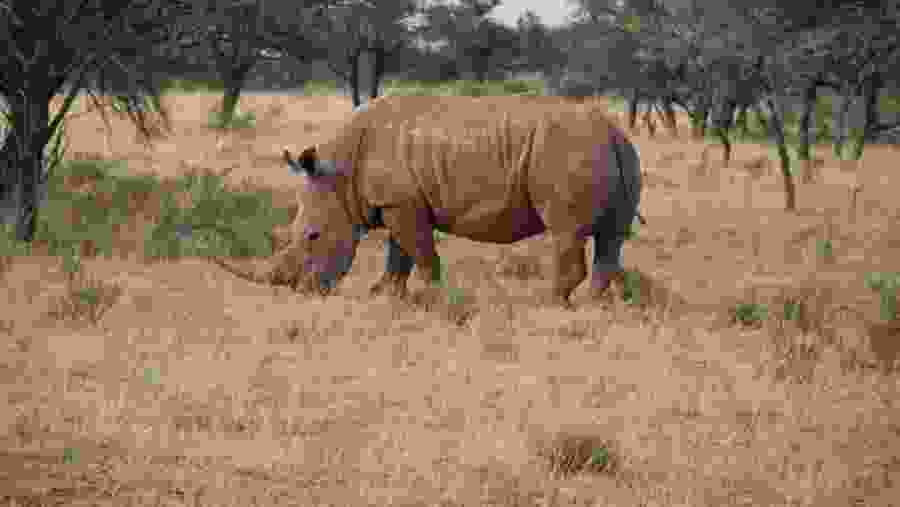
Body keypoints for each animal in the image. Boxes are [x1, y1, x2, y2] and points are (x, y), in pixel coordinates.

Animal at [213, 96, 643, 307]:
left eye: (313, 236)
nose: (304, 292)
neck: (340, 173)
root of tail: (612, 131)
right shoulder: (395, 202)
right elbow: (398, 253)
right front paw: (384, 296)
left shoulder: (402, 204)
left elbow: (419, 252)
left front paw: (432, 298)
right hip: (619, 152)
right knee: (612, 237)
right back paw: (595, 307)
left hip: (566, 151)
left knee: (566, 231)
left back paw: (551, 304)